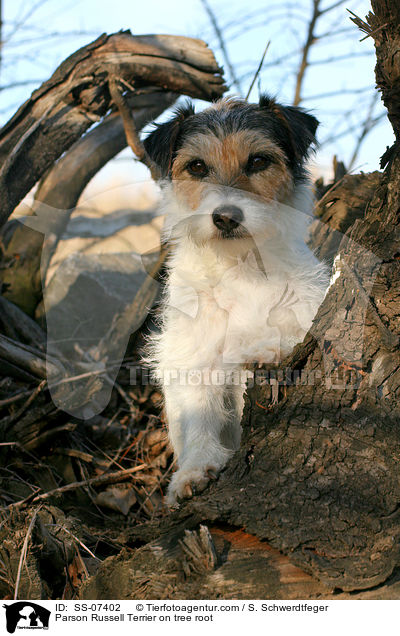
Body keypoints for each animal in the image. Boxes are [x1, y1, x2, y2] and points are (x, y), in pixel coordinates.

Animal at [143, 94, 328, 506]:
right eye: (197, 166)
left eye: (258, 161)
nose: (226, 217)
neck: (241, 265)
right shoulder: (194, 357)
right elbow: (199, 415)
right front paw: (195, 469)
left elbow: (294, 336)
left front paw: (267, 349)